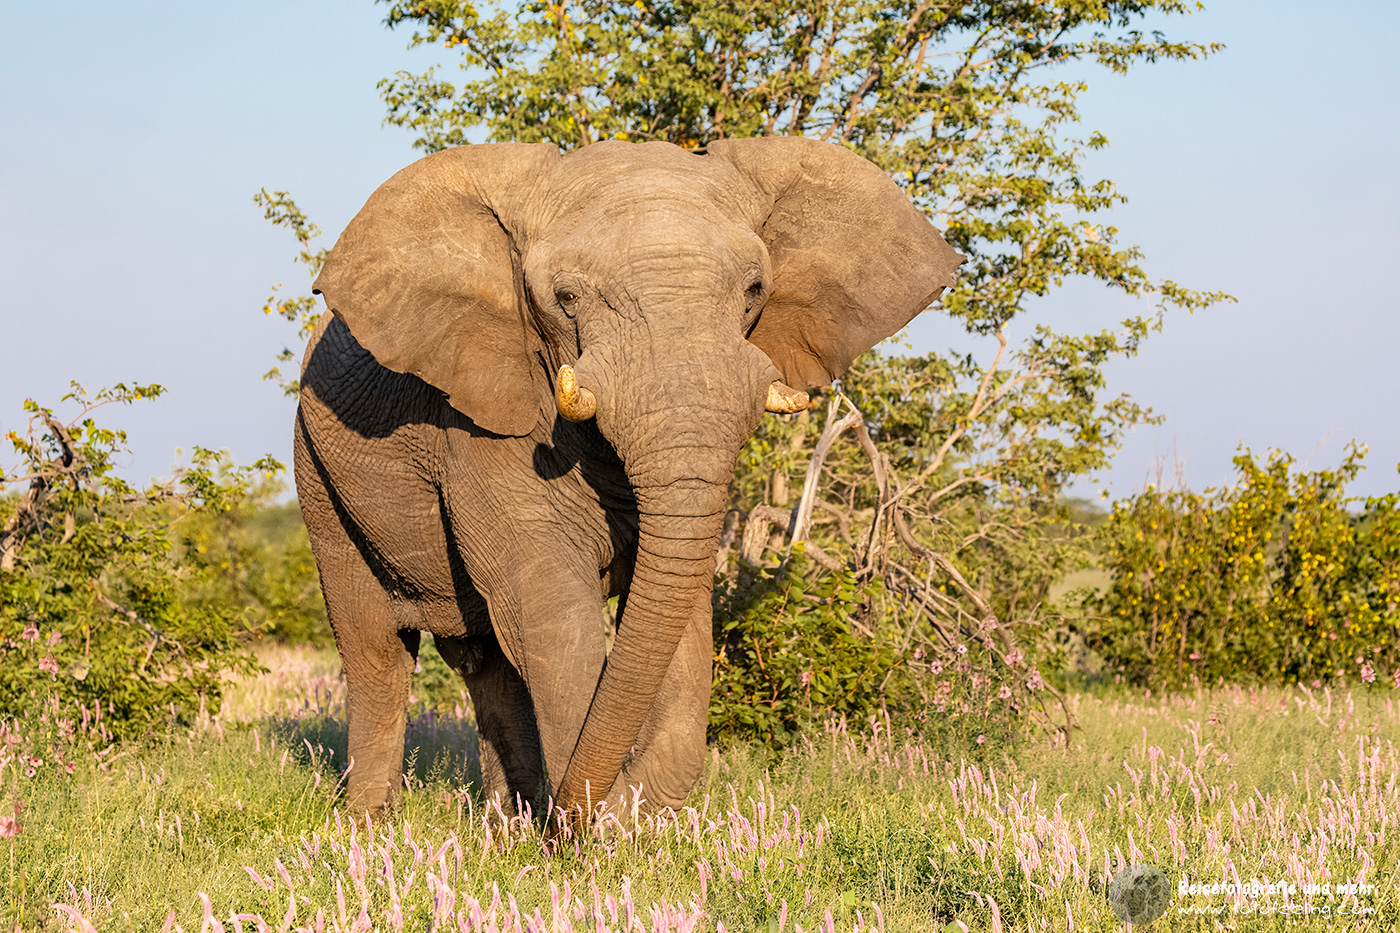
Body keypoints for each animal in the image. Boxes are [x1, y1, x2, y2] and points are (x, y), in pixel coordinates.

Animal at [294, 136, 963, 822]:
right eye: (564, 297)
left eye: (755, 288)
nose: (573, 813)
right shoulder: (475, 423)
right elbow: (551, 611)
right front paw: (596, 832)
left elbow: (677, 608)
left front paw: (597, 823)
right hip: (318, 479)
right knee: (377, 652)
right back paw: (371, 827)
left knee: (488, 665)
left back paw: (509, 823)